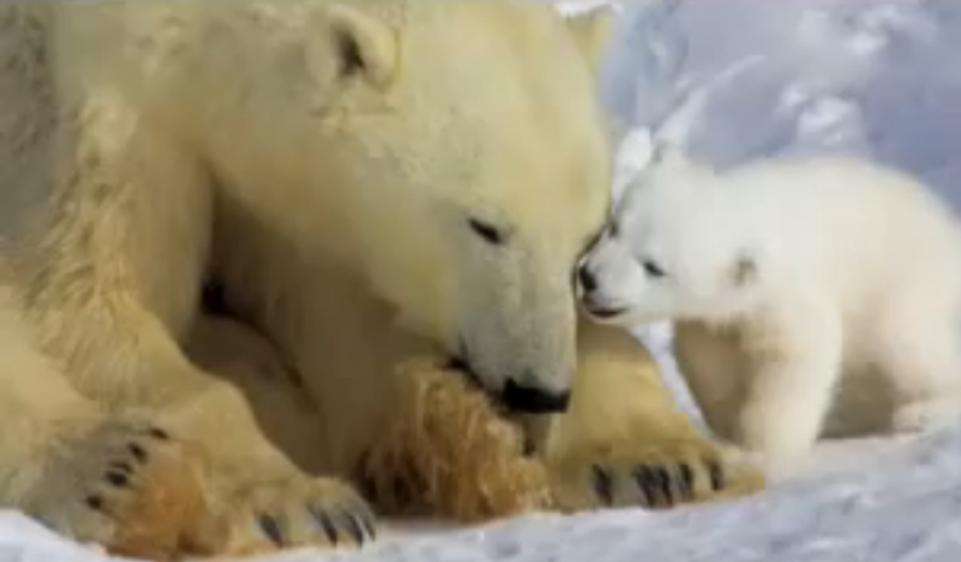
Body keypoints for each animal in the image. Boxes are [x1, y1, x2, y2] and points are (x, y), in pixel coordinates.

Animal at [0, 1, 763, 557]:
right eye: (484, 226)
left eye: (585, 238)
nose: (537, 390)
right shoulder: (102, 112)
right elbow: (81, 301)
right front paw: (297, 504)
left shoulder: (287, 194)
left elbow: (336, 304)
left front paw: (657, 460)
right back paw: (126, 475)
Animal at [576, 146, 961, 479]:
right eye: (615, 227)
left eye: (654, 267)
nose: (589, 277)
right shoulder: (715, 319)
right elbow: (709, 362)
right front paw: (727, 428)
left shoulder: (786, 293)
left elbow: (792, 363)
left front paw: (757, 452)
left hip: (907, 285)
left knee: (908, 347)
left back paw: (920, 412)